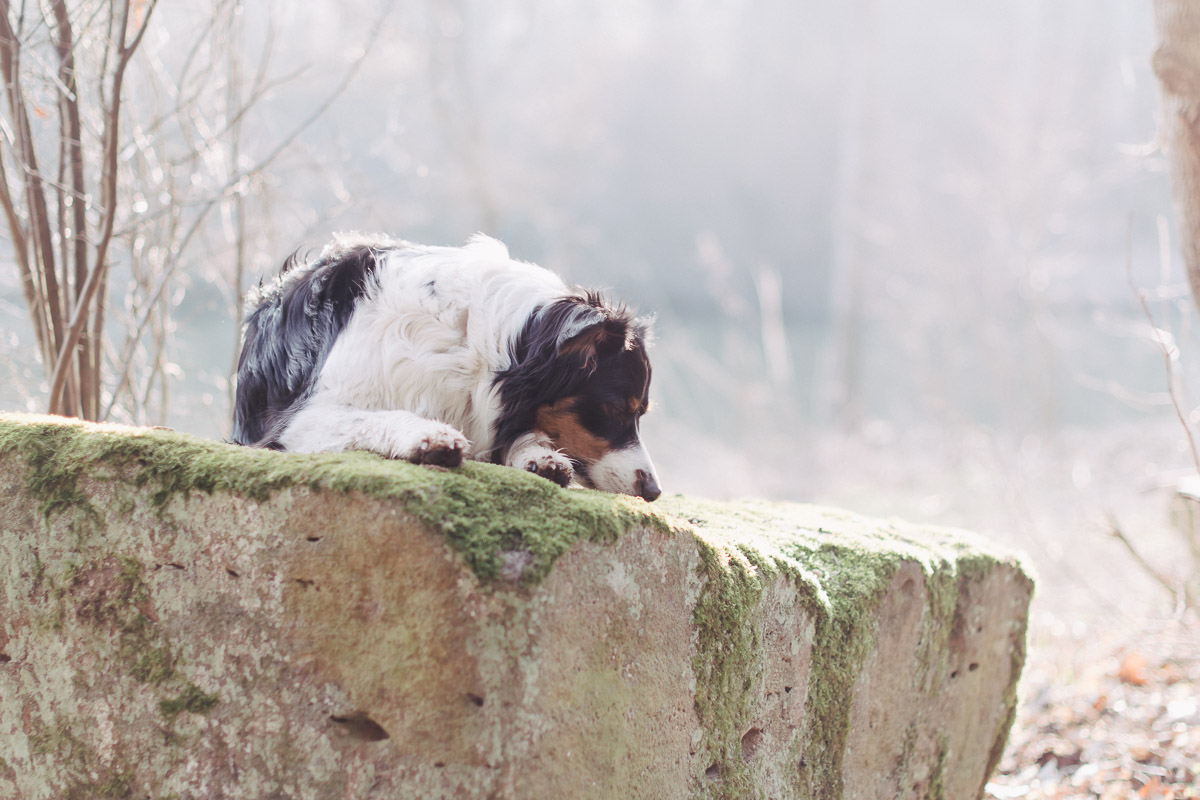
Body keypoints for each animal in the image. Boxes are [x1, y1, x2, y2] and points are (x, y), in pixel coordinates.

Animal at [229, 231, 662, 503]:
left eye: (640, 413)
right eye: (615, 410)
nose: (654, 491)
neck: (472, 341)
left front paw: (540, 456)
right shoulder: (300, 419)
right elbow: (379, 415)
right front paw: (430, 436)